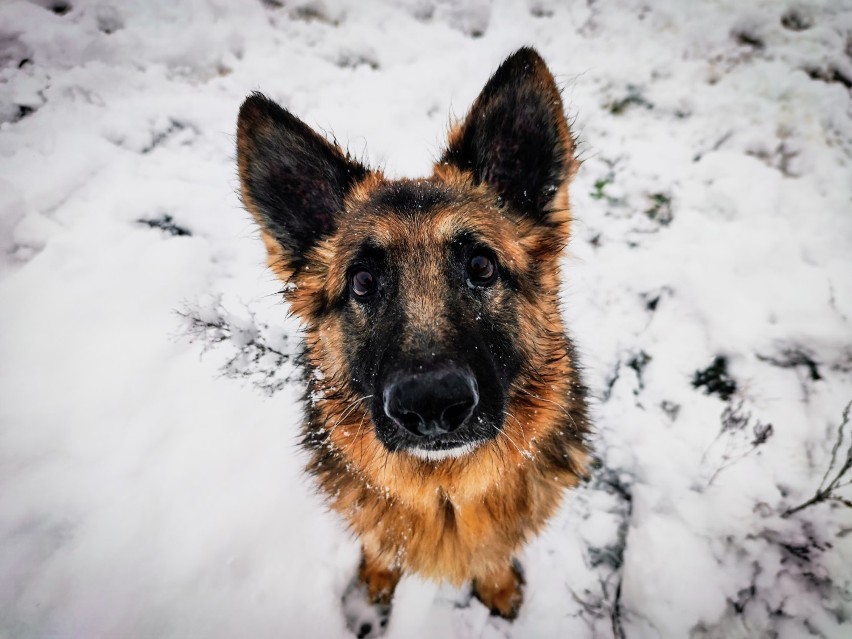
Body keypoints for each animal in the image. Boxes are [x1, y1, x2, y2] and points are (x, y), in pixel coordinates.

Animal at [236, 47, 588, 632]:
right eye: (362, 282)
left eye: (481, 266)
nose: (430, 406)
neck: (444, 490)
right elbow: (381, 543)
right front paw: (373, 587)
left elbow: (491, 554)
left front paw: (497, 585)